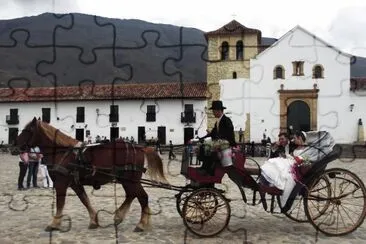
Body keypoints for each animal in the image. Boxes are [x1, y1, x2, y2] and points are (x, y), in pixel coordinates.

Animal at [15, 118, 167, 233]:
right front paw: (94, 220)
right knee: (132, 195)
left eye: (27, 131)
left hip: (130, 179)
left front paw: (54, 224)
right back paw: (120, 217)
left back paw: (140, 224)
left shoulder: (61, 183)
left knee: (142, 197)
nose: (13, 145)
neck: (62, 153)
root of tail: (141, 147)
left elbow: (60, 203)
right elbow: (84, 200)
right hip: (126, 180)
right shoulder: (75, 183)